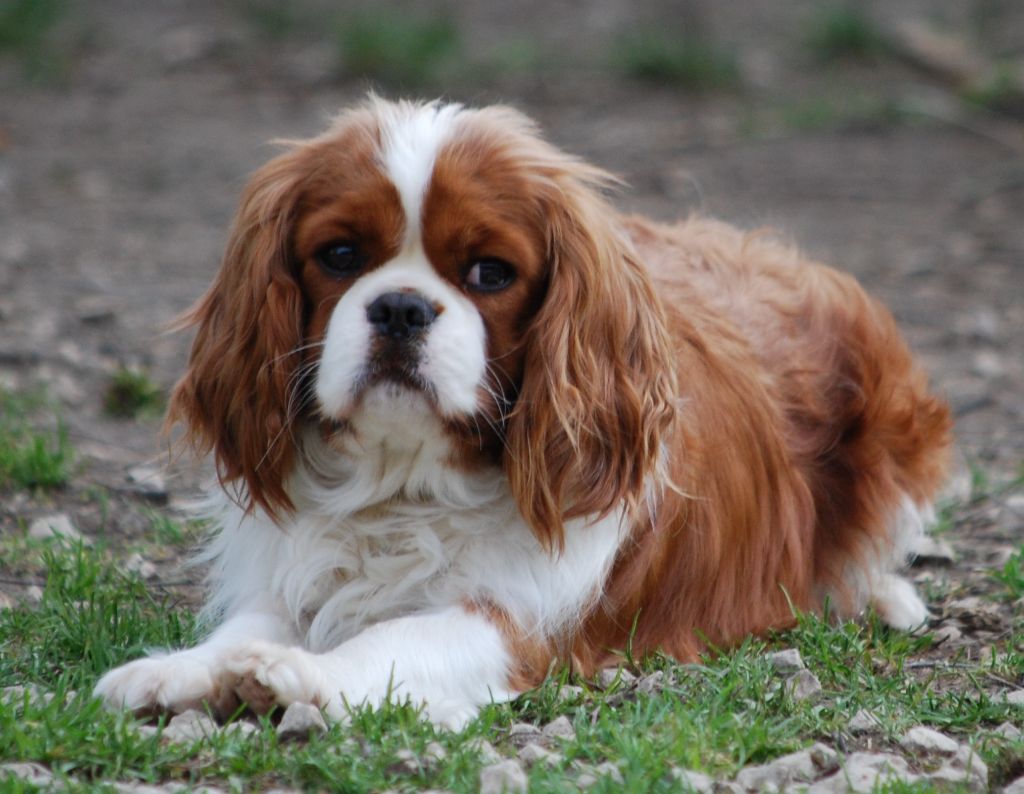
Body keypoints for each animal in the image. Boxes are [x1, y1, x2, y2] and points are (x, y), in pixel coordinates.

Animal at [96, 96, 950, 729]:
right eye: (340, 256)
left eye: (490, 273)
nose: (400, 307)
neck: (405, 483)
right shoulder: (290, 573)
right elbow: (247, 625)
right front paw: (179, 670)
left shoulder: (518, 624)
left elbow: (397, 635)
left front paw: (303, 672)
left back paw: (875, 593)